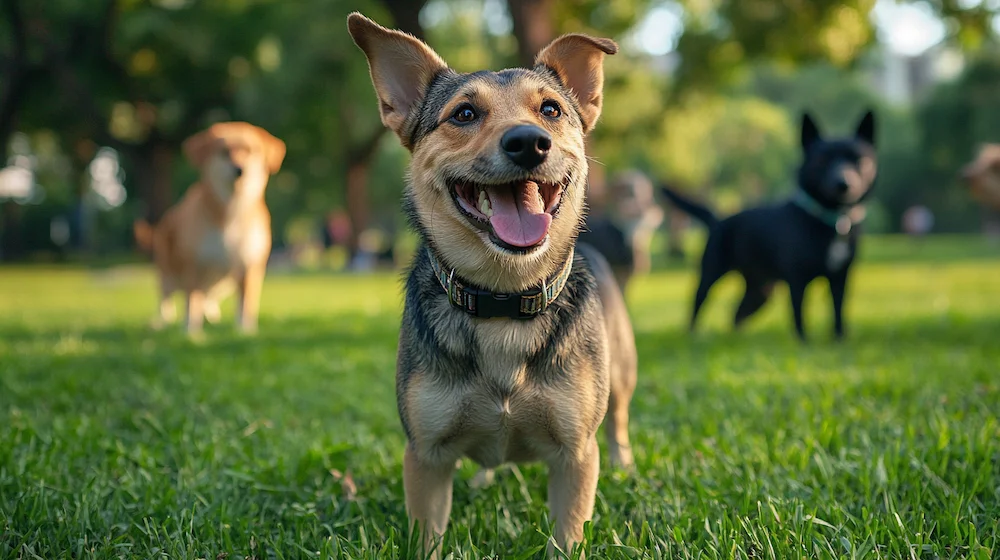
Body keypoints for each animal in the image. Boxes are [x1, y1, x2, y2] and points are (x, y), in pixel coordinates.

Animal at [134, 121, 286, 334]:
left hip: (225, 281)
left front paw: (245, 331)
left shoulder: (250, 266)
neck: (231, 213)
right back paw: (164, 321)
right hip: (168, 270)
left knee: (208, 296)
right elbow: (191, 304)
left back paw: (212, 316)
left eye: (251, 150)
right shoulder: (194, 265)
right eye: (224, 152)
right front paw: (191, 332)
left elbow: (246, 304)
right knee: (167, 298)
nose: (240, 169)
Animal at [348, 10, 636, 556]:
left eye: (550, 110)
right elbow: (426, 534)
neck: (504, 299)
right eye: (463, 114)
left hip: (621, 370)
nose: (528, 141)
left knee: (619, 419)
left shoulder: (575, 455)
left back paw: (626, 465)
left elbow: (569, 531)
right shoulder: (426, 454)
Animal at [664, 111, 876, 340]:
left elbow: (838, 311)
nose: (843, 183)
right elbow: (799, 314)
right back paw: (694, 335)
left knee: (737, 313)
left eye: (858, 160)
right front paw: (804, 342)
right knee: (698, 302)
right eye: (822, 160)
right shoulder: (797, 278)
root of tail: (718, 221)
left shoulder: (841, 277)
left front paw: (839, 339)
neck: (830, 220)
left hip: (760, 289)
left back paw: (739, 339)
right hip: (712, 273)